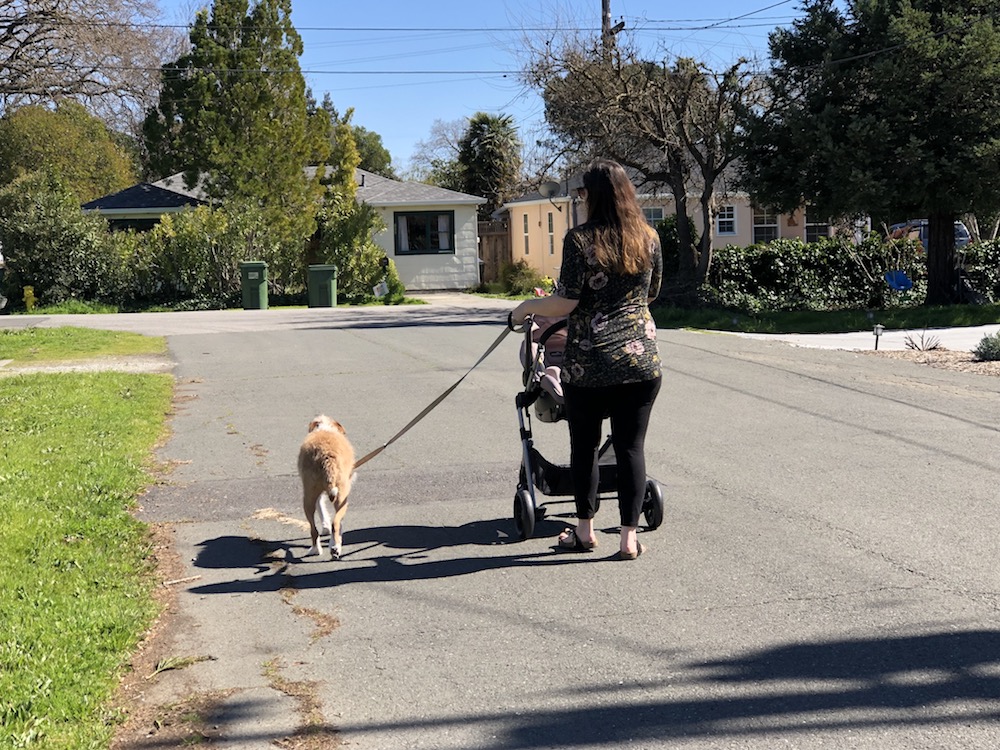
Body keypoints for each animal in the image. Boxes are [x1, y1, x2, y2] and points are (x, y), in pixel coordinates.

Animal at [296, 418, 356, 560]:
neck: (325, 427)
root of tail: (326, 457)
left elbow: (321, 508)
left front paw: (325, 528)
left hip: (308, 496)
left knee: (313, 529)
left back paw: (318, 549)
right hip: (342, 497)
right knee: (336, 522)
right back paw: (333, 548)